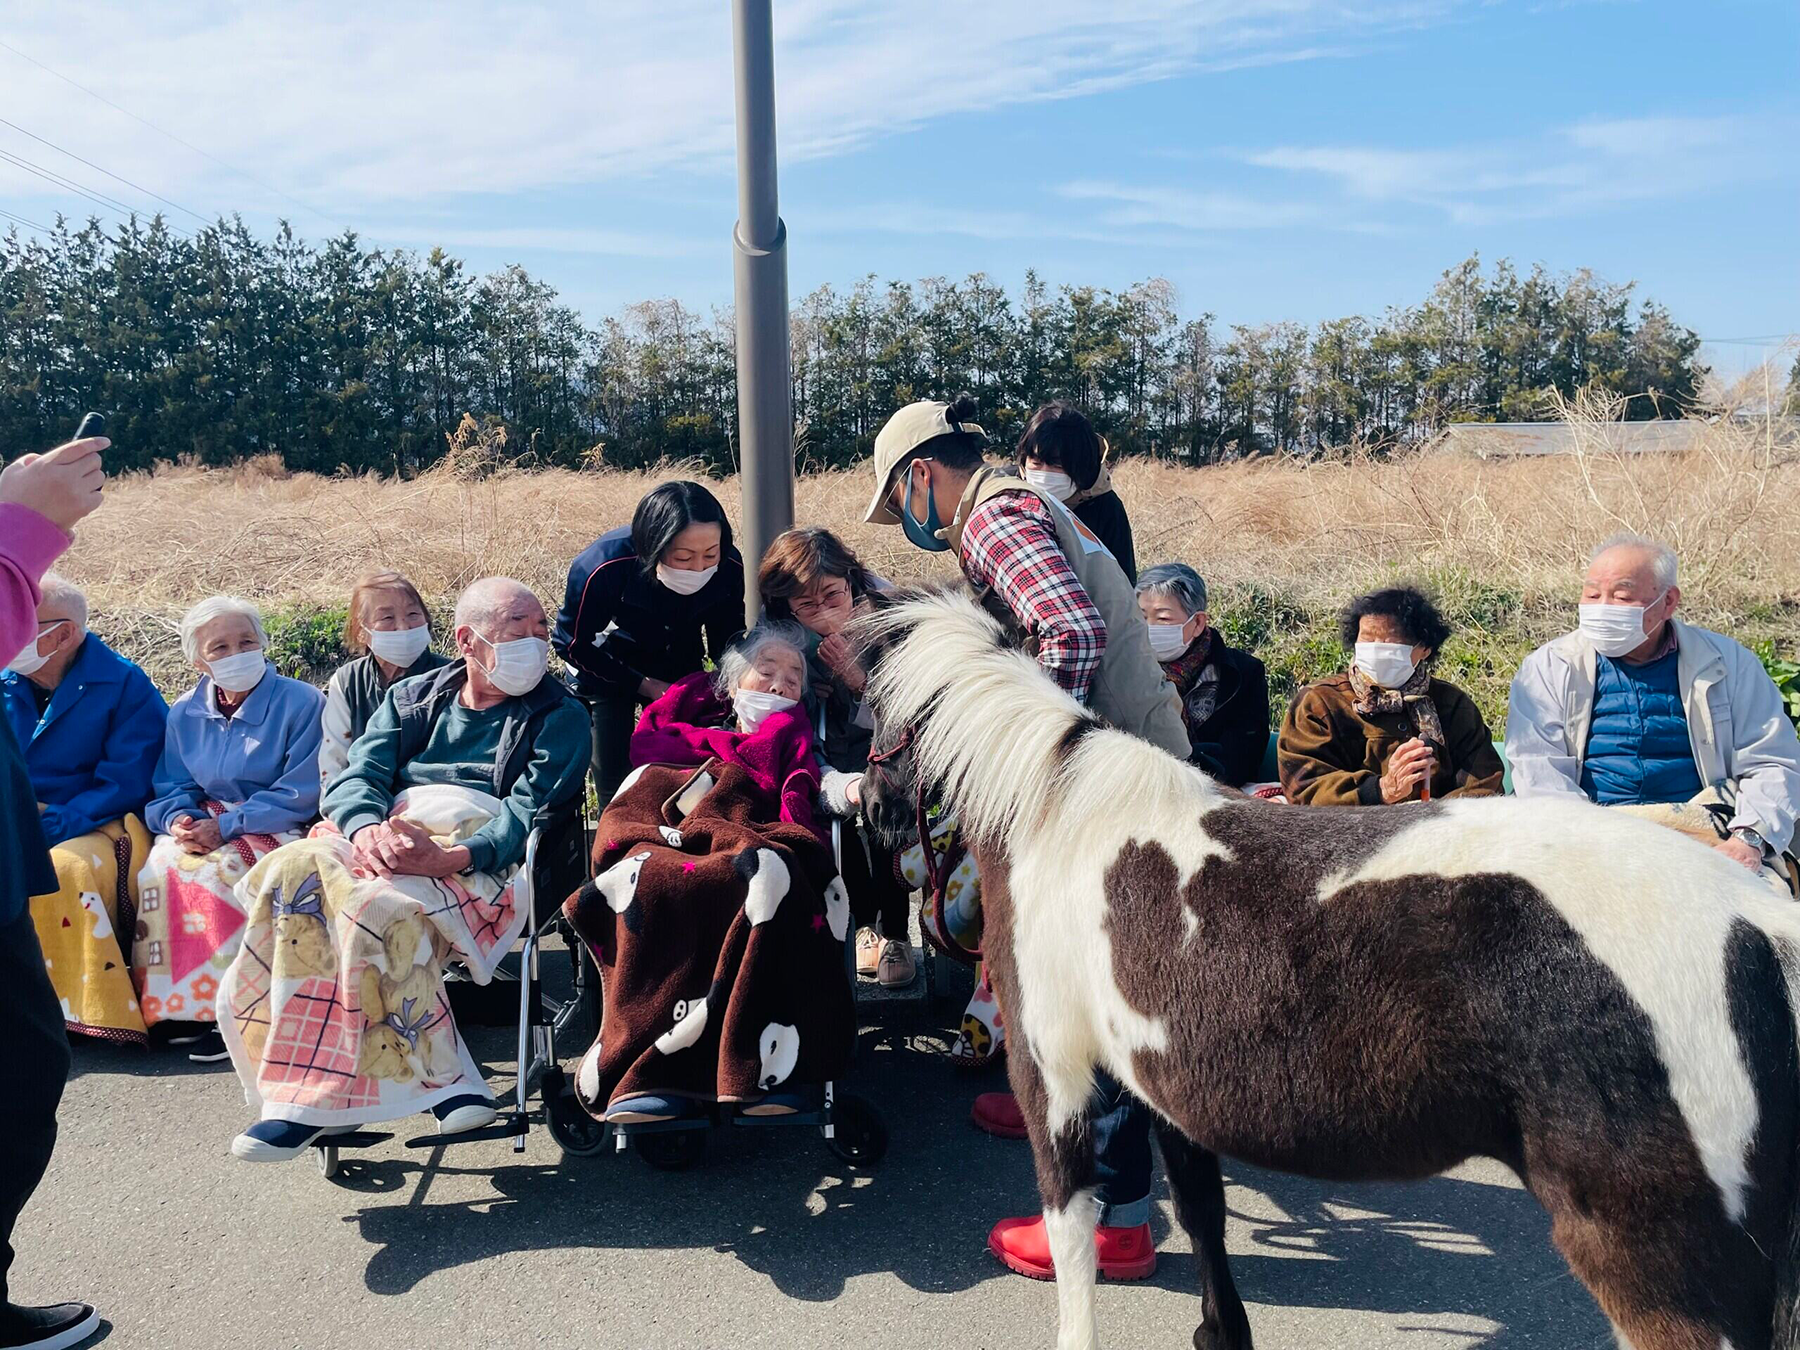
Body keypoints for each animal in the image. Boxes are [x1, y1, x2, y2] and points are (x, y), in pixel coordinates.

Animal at [853, 590, 1800, 1350]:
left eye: (876, 705)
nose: (869, 809)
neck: (1062, 814)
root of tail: (1755, 924)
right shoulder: (1165, 1087)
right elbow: (1202, 1213)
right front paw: (1218, 1332)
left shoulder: (1055, 1082)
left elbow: (1076, 1240)